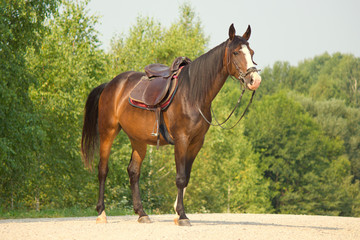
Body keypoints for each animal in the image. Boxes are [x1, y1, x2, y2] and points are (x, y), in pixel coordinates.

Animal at [81, 23, 262, 226]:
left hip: (138, 139)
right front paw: (182, 216)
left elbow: (186, 177)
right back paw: (101, 213)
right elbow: (180, 178)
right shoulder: (182, 140)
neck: (193, 94)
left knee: (133, 171)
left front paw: (177, 213)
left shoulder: (196, 142)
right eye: (236, 52)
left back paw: (142, 213)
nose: (255, 80)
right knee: (103, 170)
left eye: (251, 52)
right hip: (108, 132)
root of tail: (110, 85)